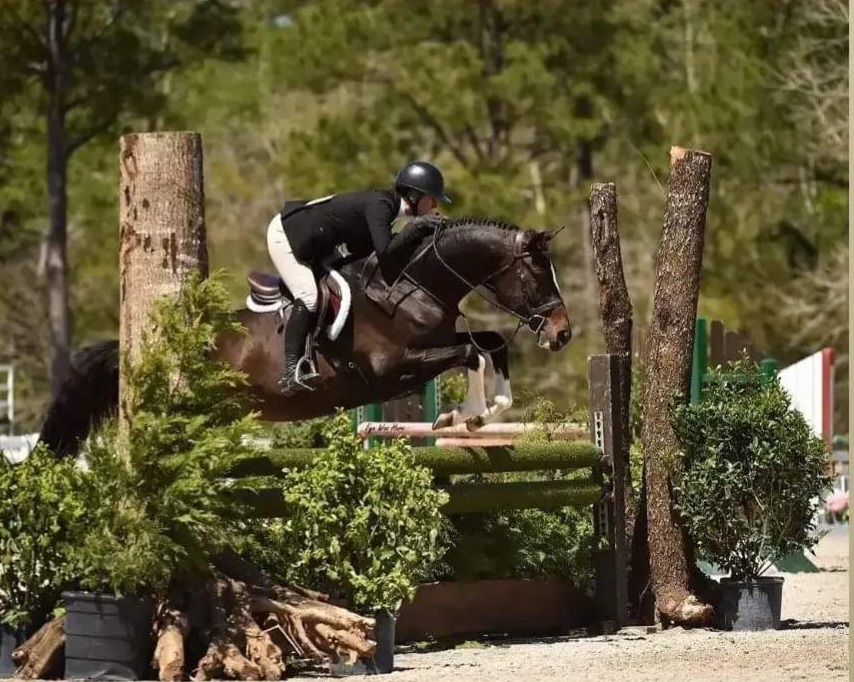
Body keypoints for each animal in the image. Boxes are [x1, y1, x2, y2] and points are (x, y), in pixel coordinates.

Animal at [36, 215, 572, 454]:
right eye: (536, 276)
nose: (563, 334)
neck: (412, 285)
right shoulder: (392, 369)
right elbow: (471, 353)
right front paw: (466, 415)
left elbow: (490, 344)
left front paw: (485, 412)